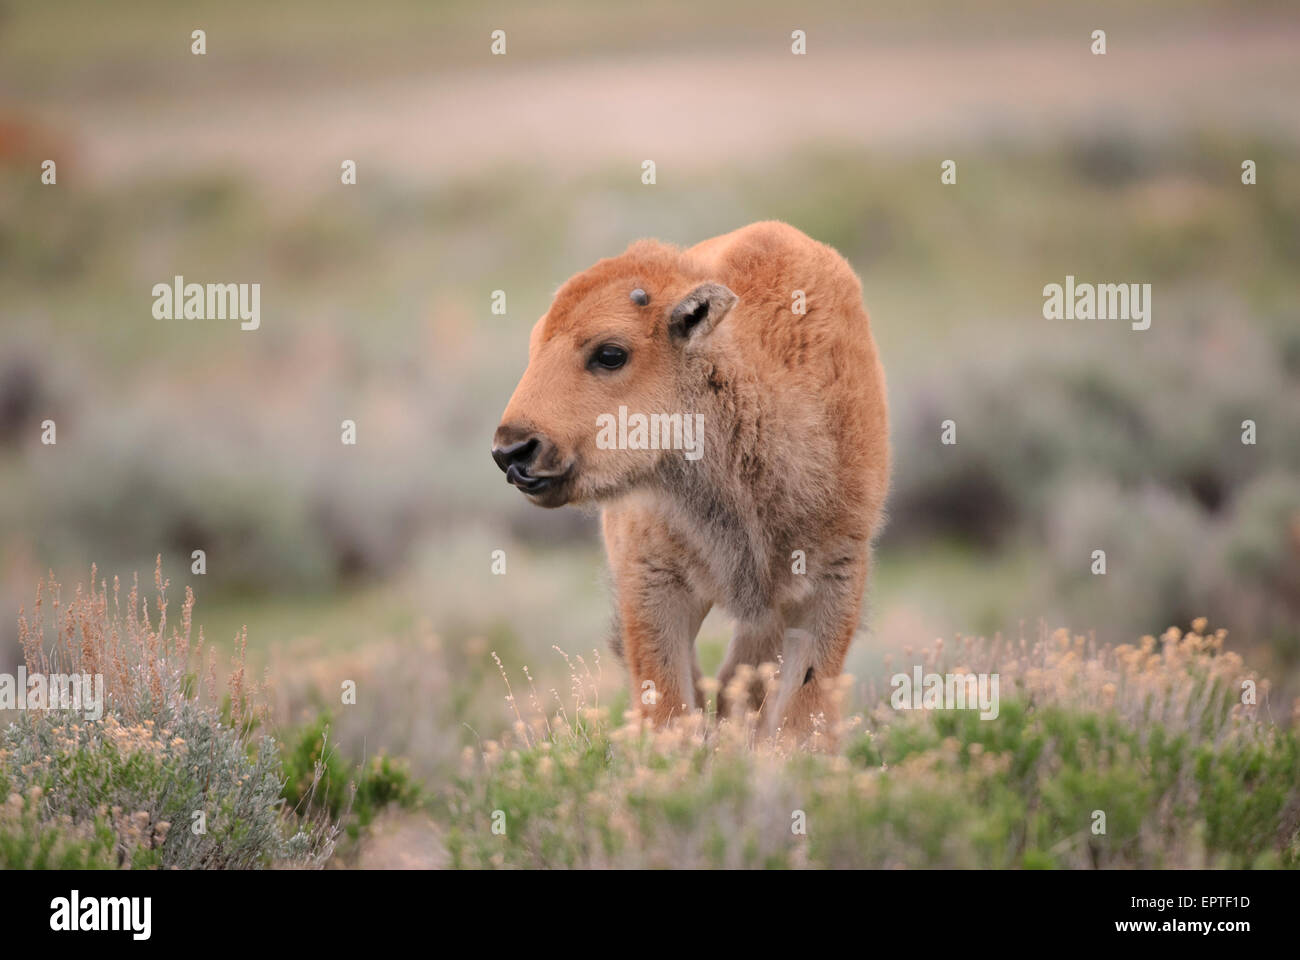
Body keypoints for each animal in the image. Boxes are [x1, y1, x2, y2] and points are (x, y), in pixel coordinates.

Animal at [491, 218, 889, 738]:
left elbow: (801, 714)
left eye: (611, 353)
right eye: (536, 344)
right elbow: (669, 705)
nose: (512, 451)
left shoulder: (833, 578)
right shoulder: (651, 581)